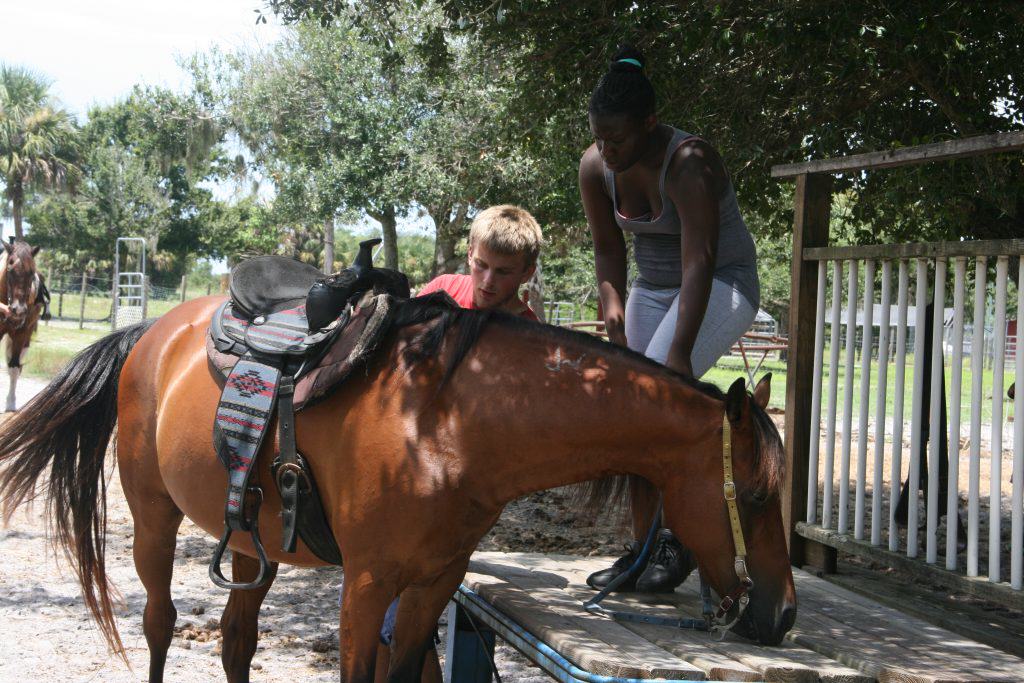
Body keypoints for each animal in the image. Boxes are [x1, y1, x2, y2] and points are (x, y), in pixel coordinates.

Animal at [0, 239, 45, 411]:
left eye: (31, 272)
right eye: (10, 269)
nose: (18, 309)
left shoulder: (21, 334)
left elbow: (14, 368)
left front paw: (10, 403)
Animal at [0, 294, 798, 683]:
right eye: (756, 496)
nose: (782, 615)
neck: (447, 423)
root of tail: (151, 334)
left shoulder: (431, 585)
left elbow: (408, 674)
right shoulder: (368, 584)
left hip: (256, 547)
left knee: (235, 641)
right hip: (154, 521)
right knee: (162, 624)